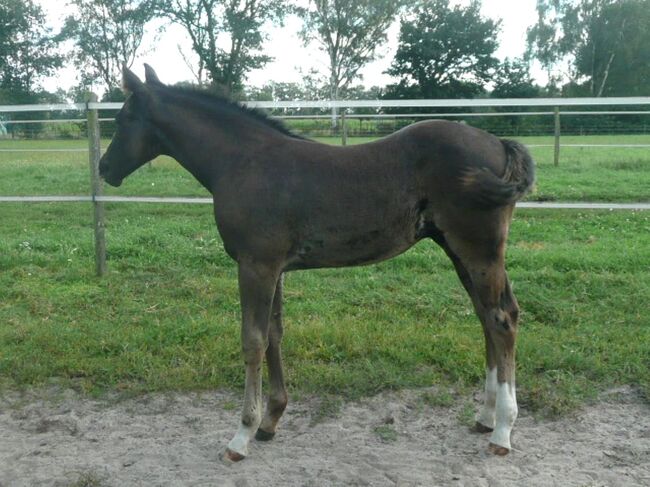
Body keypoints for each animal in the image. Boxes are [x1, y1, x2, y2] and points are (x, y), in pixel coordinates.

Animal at [97, 66, 532, 464]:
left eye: (122, 120)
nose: (104, 168)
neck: (243, 162)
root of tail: (497, 143)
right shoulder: (274, 268)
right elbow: (274, 334)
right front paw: (270, 421)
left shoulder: (255, 265)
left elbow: (252, 341)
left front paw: (242, 435)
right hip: (458, 251)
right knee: (486, 316)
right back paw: (485, 416)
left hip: (478, 250)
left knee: (501, 319)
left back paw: (503, 431)